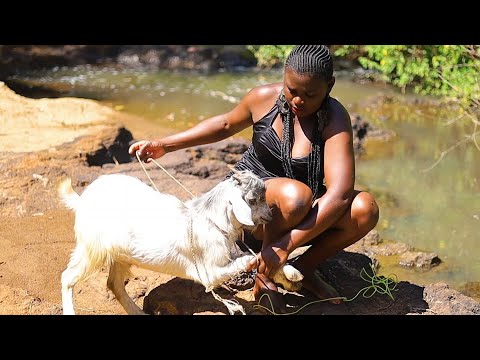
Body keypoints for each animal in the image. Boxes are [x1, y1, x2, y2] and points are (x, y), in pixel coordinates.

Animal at [58, 170, 302, 314]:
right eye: (253, 200)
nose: (270, 216)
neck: (210, 219)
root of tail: (82, 199)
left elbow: (257, 257)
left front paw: (291, 276)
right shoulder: (209, 273)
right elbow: (250, 259)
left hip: (120, 254)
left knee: (114, 285)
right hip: (92, 247)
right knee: (68, 277)